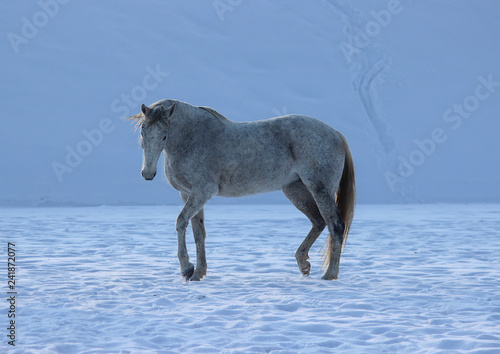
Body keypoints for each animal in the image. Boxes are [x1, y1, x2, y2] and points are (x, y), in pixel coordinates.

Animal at [129, 100, 356, 282]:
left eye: (164, 136)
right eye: (142, 133)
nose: (147, 173)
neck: (192, 138)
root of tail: (336, 134)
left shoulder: (202, 193)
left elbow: (180, 222)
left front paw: (187, 269)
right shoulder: (189, 194)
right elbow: (199, 234)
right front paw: (198, 273)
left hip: (319, 188)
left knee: (335, 225)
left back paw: (329, 274)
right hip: (295, 190)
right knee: (318, 221)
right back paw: (303, 263)